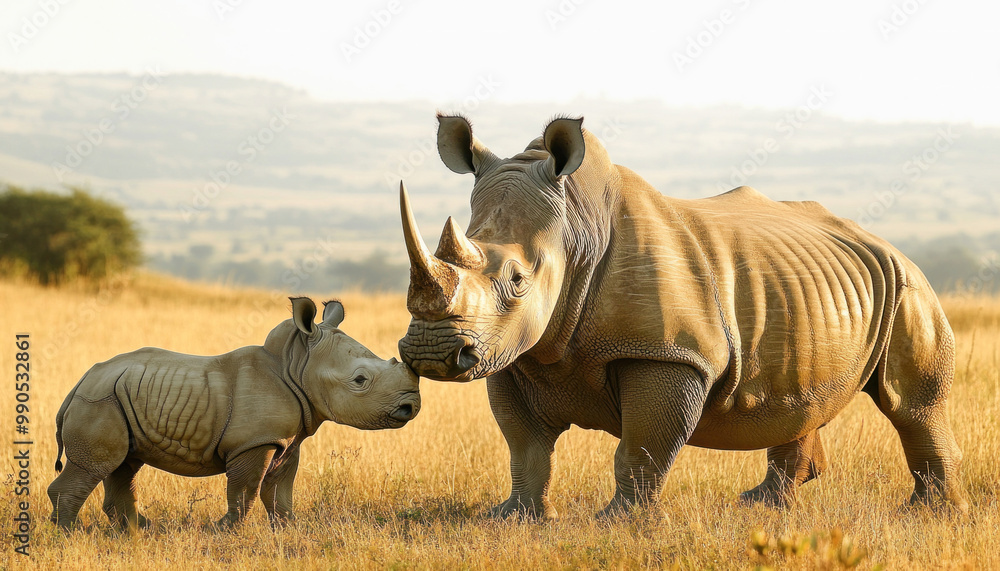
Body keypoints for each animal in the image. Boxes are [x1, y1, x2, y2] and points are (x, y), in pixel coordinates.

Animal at [48, 297, 420, 530]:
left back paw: (139, 531)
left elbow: (279, 491)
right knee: (95, 467)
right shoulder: (254, 442)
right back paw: (70, 534)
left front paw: (290, 529)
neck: (296, 364)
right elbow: (246, 491)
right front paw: (223, 530)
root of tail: (79, 383)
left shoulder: (285, 440)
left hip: (116, 397)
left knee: (123, 465)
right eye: (360, 380)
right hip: (99, 401)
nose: (411, 406)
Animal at [396, 114, 968, 519]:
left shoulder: (670, 354)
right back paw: (762, 505)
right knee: (807, 395)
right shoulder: (515, 350)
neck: (576, 230)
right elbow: (525, 446)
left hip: (908, 284)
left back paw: (932, 513)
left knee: (912, 403)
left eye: (517, 280)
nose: (431, 353)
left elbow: (642, 447)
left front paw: (618, 522)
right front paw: (514, 517)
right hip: (816, 288)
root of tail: (882, 241)